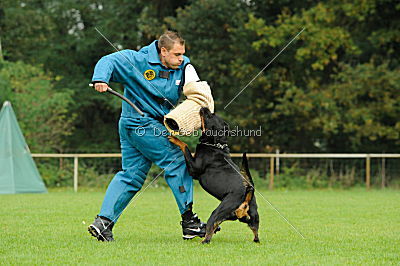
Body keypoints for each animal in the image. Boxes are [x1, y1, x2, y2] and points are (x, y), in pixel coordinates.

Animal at [168, 106, 260, 243]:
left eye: (210, 116)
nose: (204, 107)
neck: (215, 145)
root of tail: (246, 200)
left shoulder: (194, 169)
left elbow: (185, 146)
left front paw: (174, 138)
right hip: (251, 218)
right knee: (255, 234)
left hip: (218, 211)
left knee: (210, 229)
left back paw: (204, 240)